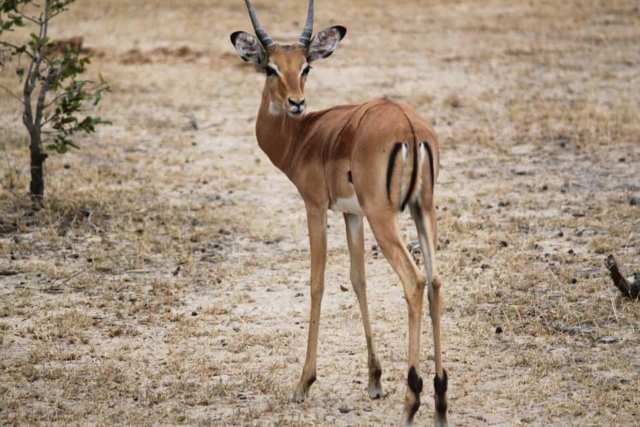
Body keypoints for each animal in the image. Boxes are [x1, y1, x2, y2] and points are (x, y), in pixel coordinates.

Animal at [230, 1, 448, 425]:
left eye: (306, 67)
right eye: (271, 67)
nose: (297, 103)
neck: (303, 137)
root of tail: (410, 127)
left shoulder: (315, 206)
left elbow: (317, 282)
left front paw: (303, 383)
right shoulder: (352, 214)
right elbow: (358, 279)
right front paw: (374, 380)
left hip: (386, 218)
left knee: (414, 282)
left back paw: (411, 400)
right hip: (422, 211)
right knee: (435, 282)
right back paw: (441, 401)